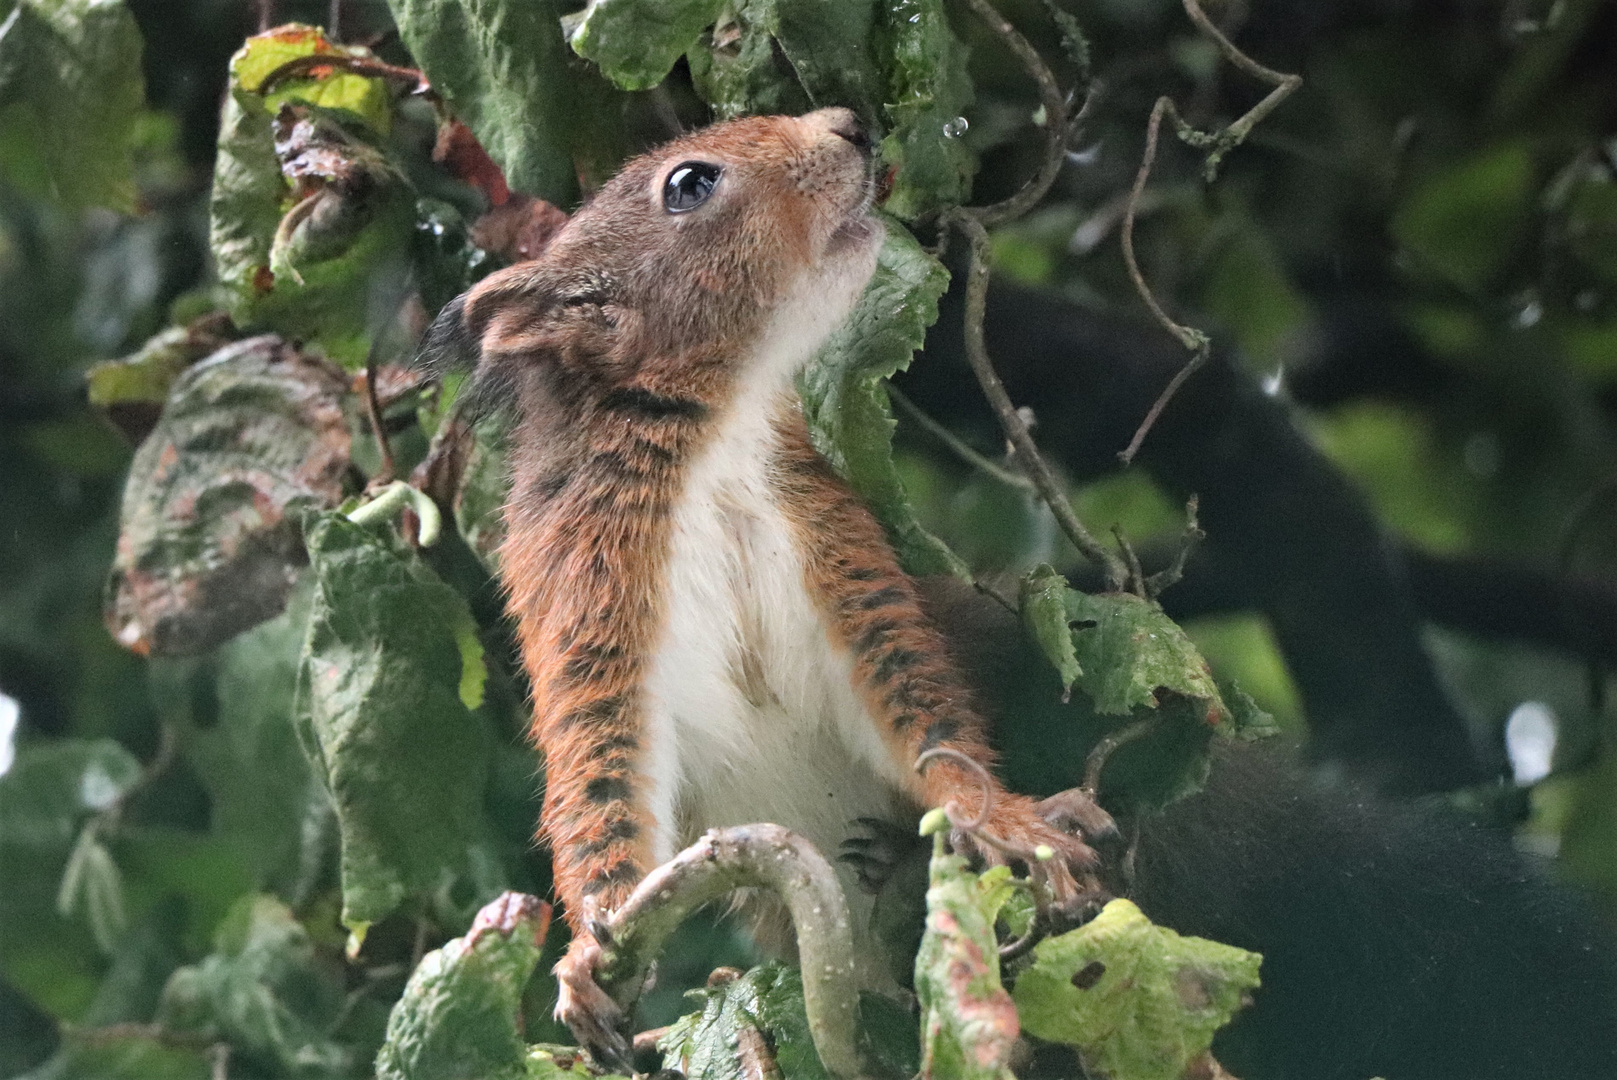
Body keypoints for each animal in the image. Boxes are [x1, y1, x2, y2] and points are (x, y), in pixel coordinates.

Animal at [420, 109, 1099, 1054]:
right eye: (689, 183)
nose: (849, 123)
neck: (719, 435)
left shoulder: (835, 552)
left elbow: (916, 709)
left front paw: (1001, 820)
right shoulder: (588, 599)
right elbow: (604, 777)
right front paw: (588, 953)